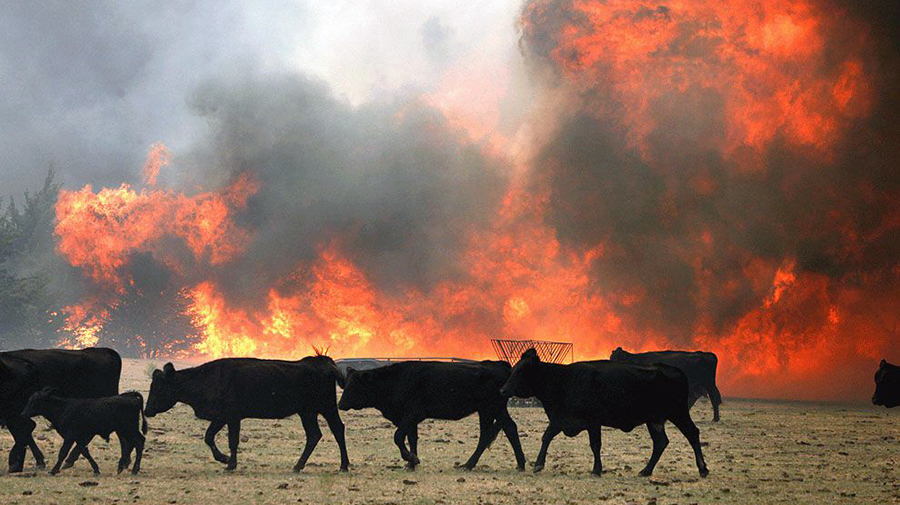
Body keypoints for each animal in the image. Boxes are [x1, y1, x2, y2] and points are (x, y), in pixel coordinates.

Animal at [144, 352, 348, 470]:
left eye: (159, 387)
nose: (146, 410)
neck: (208, 379)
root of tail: (323, 362)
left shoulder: (232, 416)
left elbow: (232, 441)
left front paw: (229, 463)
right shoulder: (221, 417)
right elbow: (209, 436)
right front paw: (224, 459)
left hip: (326, 407)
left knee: (336, 429)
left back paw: (343, 465)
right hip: (308, 412)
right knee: (315, 434)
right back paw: (299, 465)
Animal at [340, 358, 528, 468]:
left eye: (354, 385)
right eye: (345, 383)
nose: (340, 404)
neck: (397, 380)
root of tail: (499, 364)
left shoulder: (412, 414)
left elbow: (398, 436)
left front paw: (410, 458)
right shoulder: (410, 419)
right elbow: (411, 438)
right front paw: (412, 463)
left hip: (493, 407)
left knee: (500, 431)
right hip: (489, 410)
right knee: (499, 431)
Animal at [502, 348, 708, 478]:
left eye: (520, 372)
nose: (503, 390)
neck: (563, 380)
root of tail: (673, 370)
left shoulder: (593, 422)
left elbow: (595, 445)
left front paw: (596, 470)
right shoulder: (561, 419)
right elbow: (547, 436)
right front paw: (538, 464)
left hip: (678, 413)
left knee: (692, 433)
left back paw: (703, 469)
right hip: (654, 420)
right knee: (661, 442)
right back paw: (645, 471)